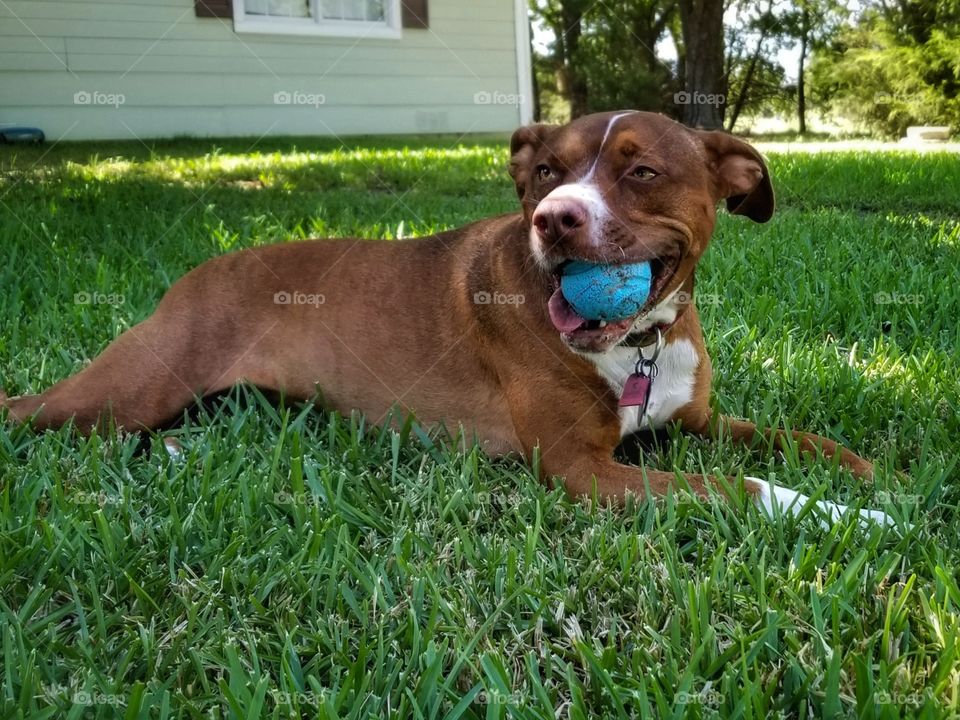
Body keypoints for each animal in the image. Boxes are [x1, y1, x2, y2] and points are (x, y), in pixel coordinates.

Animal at [0, 111, 888, 524]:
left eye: (642, 172)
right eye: (545, 171)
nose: (555, 219)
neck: (638, 342)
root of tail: (199, 270)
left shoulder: (696, 421)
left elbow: (796, 440)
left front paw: (870, 475)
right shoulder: (584, 470)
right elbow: (744, 486)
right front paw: (855, 518)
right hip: (127, 387)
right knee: (29, 411)